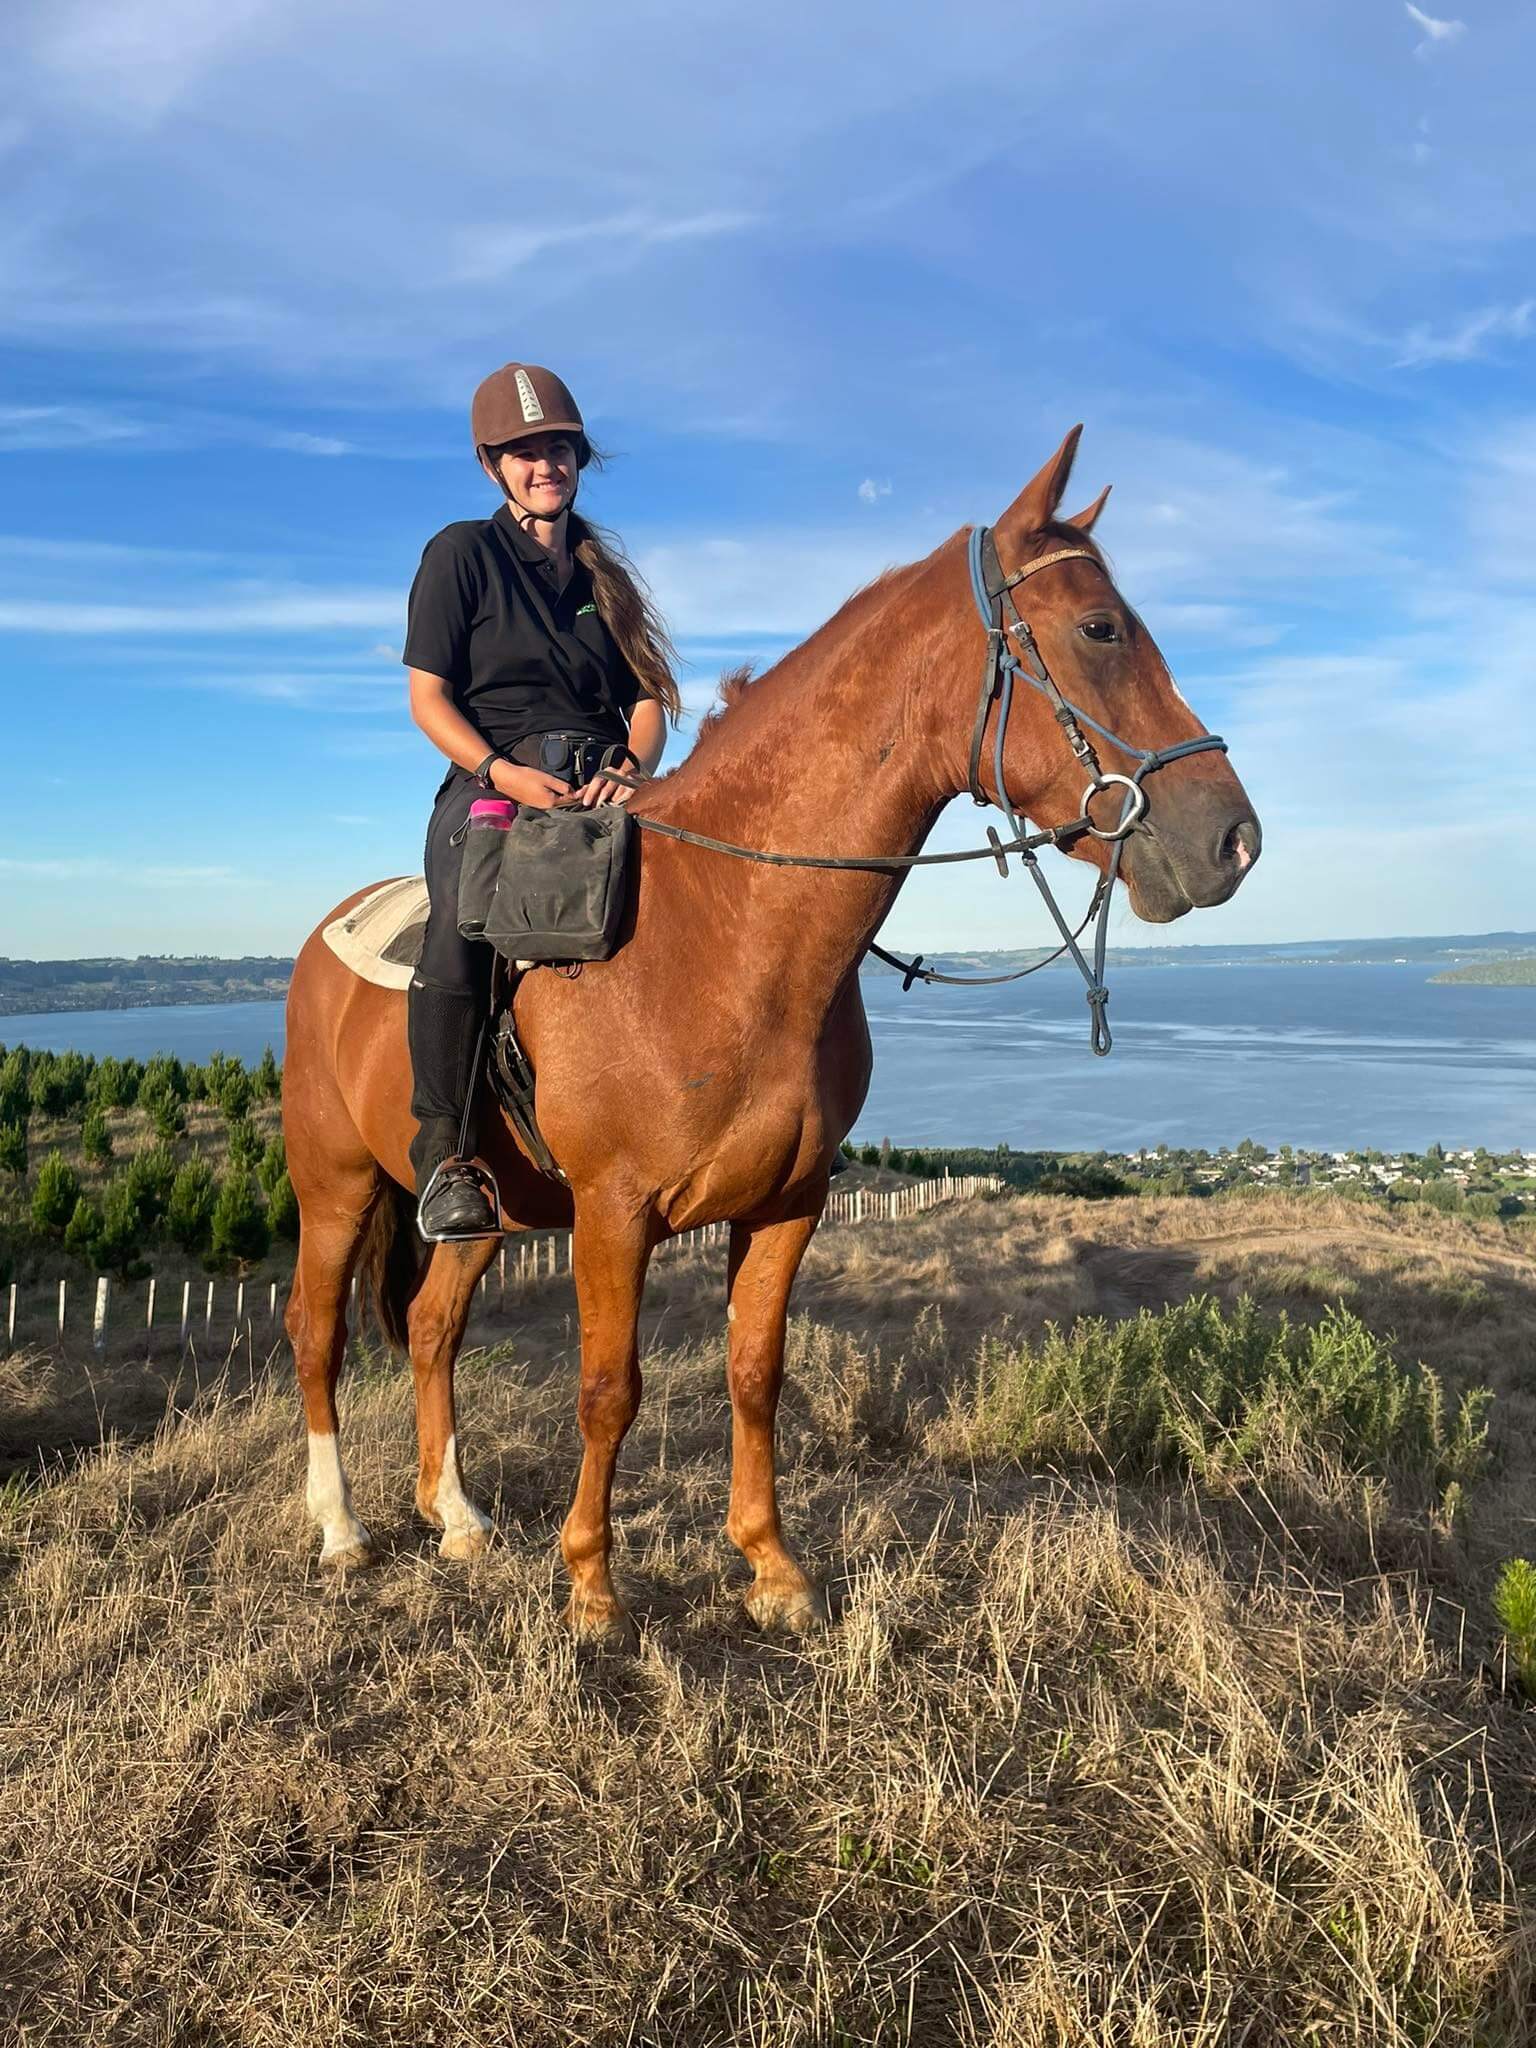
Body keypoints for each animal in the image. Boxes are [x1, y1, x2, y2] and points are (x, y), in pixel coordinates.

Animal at [282, 427, 1261, 1642]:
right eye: (1099, 629)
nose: (1233, 839)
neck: (726, 929)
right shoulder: (614, 1213)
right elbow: (609, 1387)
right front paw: (593, 1584)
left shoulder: (788, 1202)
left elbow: (756, 1372)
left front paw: (772, 1566)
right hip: (335, 1189)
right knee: (316, 1335)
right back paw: (342, 1528)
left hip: (481, 1214)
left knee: (428, 1330)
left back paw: (456, 1516)